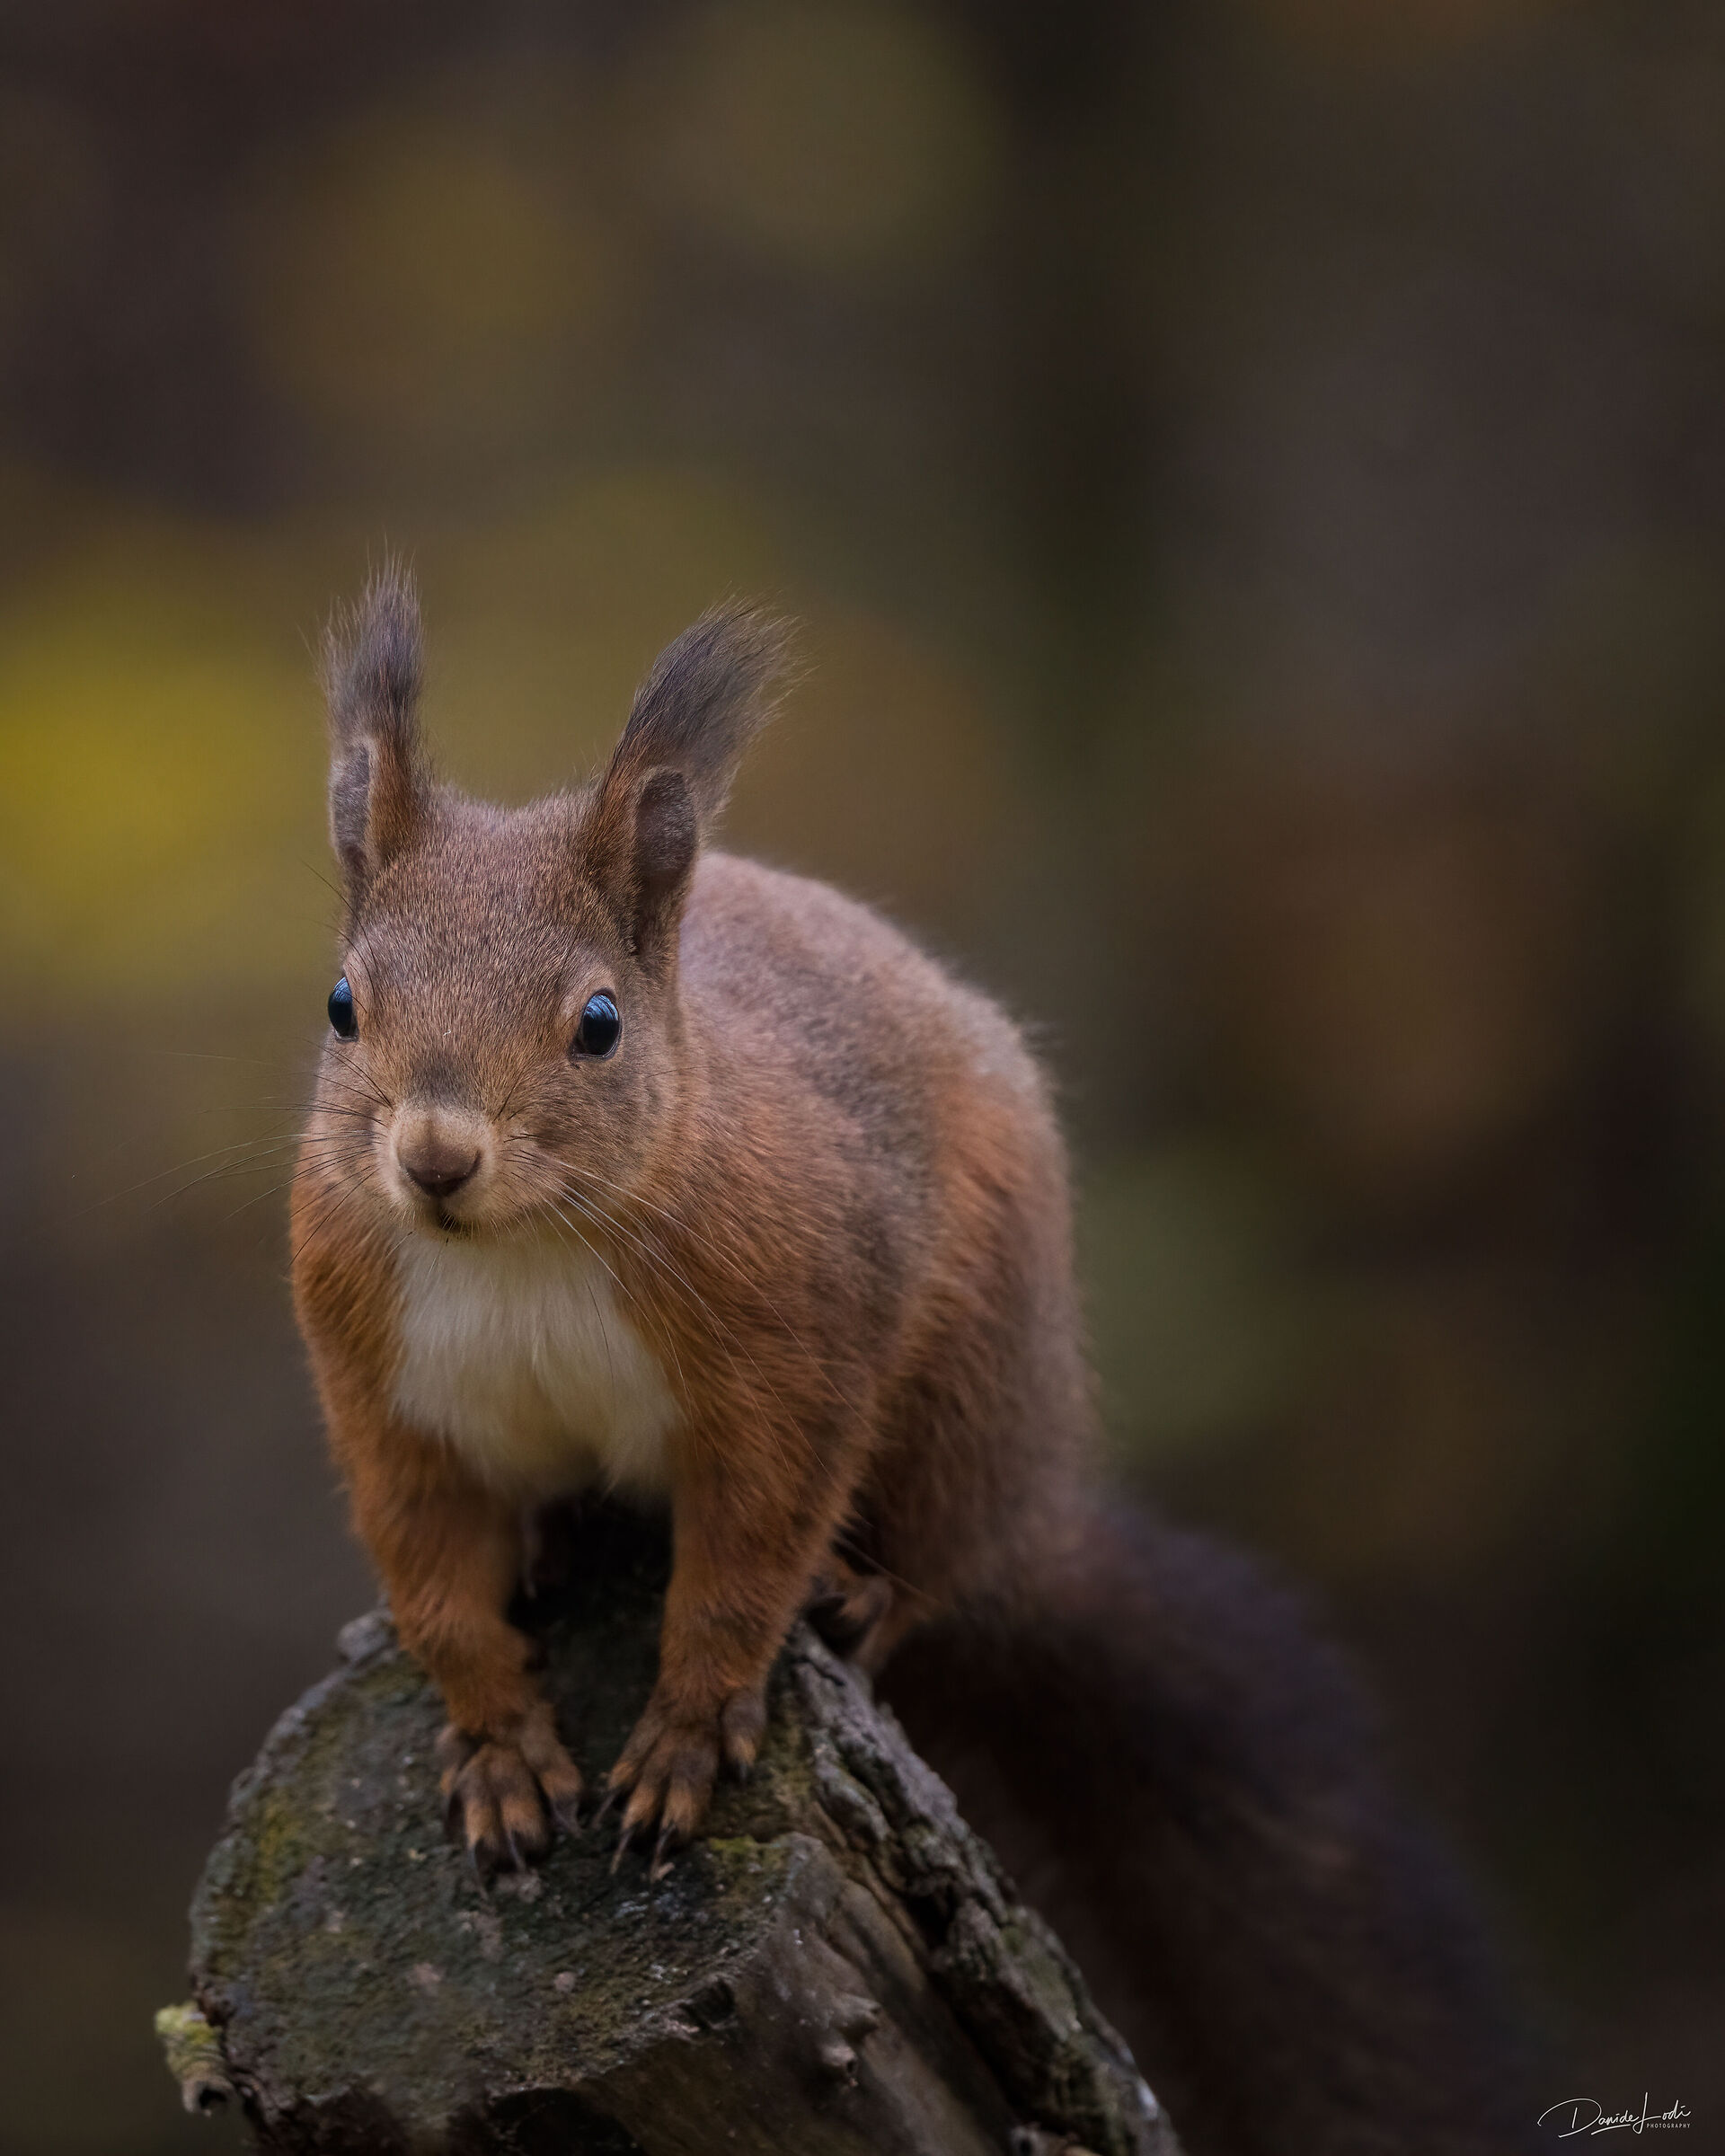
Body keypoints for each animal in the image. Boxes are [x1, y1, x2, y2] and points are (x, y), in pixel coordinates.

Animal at [291, 567, 1537, 2156]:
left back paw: (877, 1592)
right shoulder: (381, 1389)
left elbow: (749, 1550)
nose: (437, 1158)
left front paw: (686, 1730)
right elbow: (434, 1575)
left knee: (946, 1546)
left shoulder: (799, 1336)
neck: (519, 1252)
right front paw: (500, 1746)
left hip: (968, 1378)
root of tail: (1037, 1501)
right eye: (342, 1006)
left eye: (598, 1025)